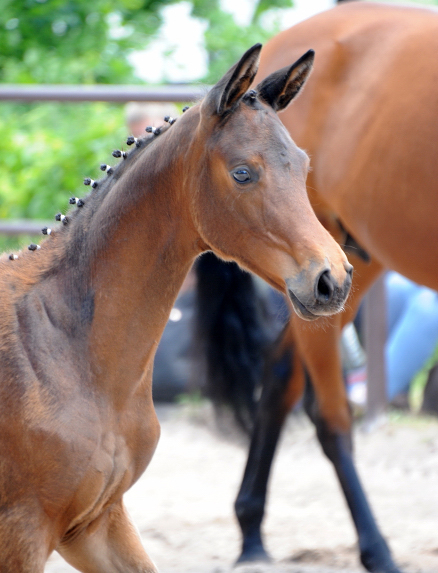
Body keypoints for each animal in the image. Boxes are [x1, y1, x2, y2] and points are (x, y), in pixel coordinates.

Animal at [0, 45, 352, 572]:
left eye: (303, 166)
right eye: (242, 172)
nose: (332, 280)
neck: (65, 349)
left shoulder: (96, 521)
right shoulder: (21, 531)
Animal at [196, 3, 438, 572]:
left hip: (343, 269)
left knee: (280, 372)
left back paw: (252, 532)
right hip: (325, 266)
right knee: (328, 416)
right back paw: (376, 549)